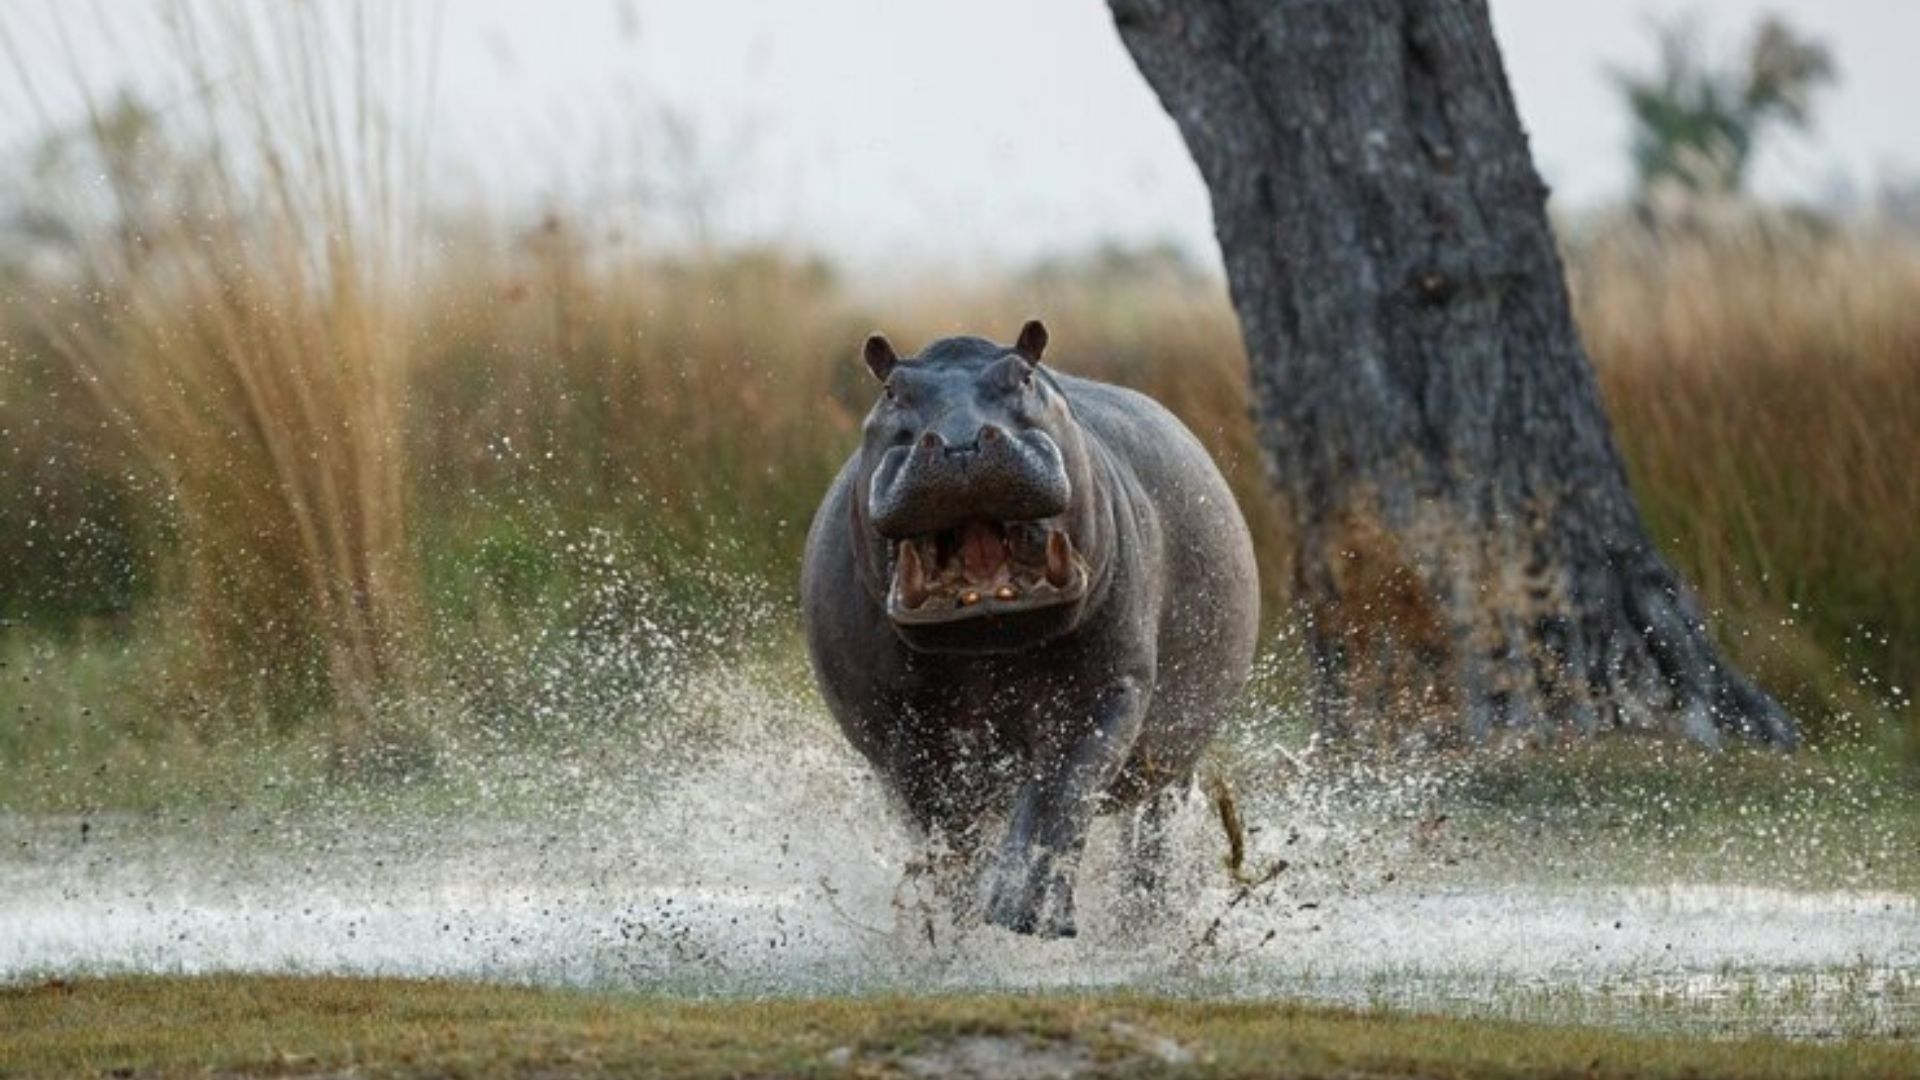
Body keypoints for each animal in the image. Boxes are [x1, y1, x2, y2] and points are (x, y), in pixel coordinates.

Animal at [798, 319, 1259, 933]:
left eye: (1023, 376)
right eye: (892, 390)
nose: (961, 442)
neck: (987, 637)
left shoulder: (1108, 689)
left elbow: (1060, 790)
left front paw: (1027, 914)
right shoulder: (893, 727)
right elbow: (944, 824)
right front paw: (957, 921)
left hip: (1172, 757)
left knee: (1152, 835)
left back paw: (1145, 928)